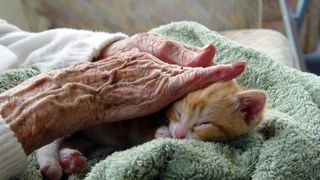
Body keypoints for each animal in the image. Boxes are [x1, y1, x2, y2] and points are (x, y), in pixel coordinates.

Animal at [35, 79, 264, 179]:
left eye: (203, 123)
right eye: (178, 113)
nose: (178, 134)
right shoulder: (142, 108)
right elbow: (145, 124)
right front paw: (161, 133)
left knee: (72, 141)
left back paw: (69, 158)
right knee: (48, 141)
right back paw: (51, 163)